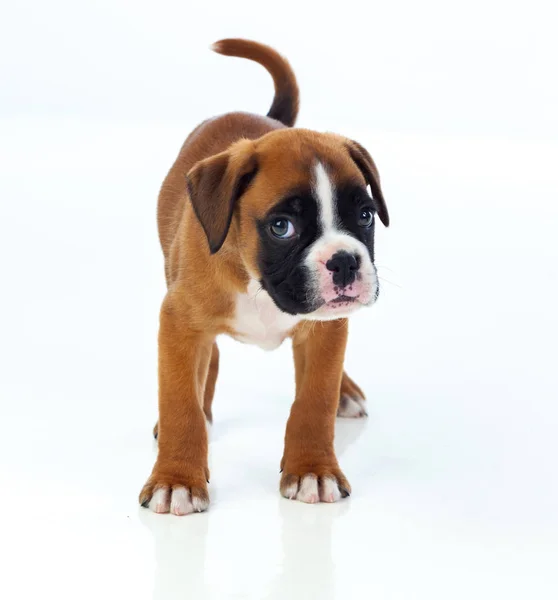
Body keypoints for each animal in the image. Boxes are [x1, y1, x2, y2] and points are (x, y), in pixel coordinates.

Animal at [140, 38, 390, 516]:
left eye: (365, 215)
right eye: (281, 227)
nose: (345, 261)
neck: (258, 280)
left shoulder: (324, 332)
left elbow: (313, 400)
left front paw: (313, 470)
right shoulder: (178, 323)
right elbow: (181, 403)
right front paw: (177, 478)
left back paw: (345, 392)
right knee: (208, 362)